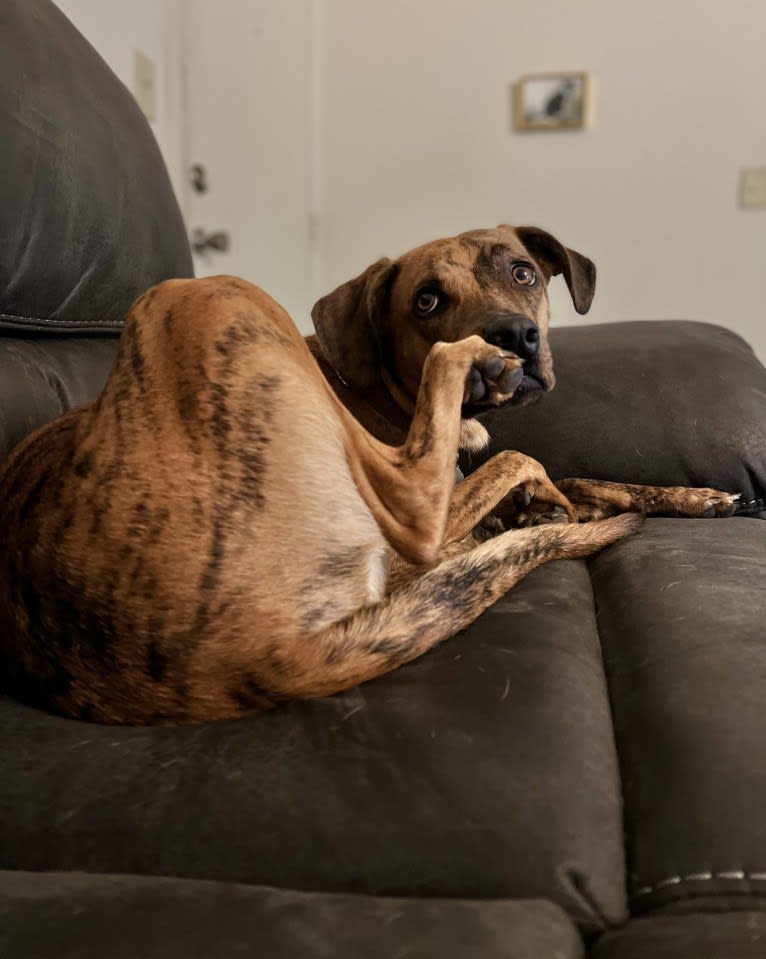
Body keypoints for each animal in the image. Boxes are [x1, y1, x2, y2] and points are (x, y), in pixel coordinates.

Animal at [0, 225, 736, 724]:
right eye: (427, 300)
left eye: (524, 273)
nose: (512, 338)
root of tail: (256, 657)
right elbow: (533, 474)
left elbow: (587, 477)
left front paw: (697, 495)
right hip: (206, 297)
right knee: (430, 514)